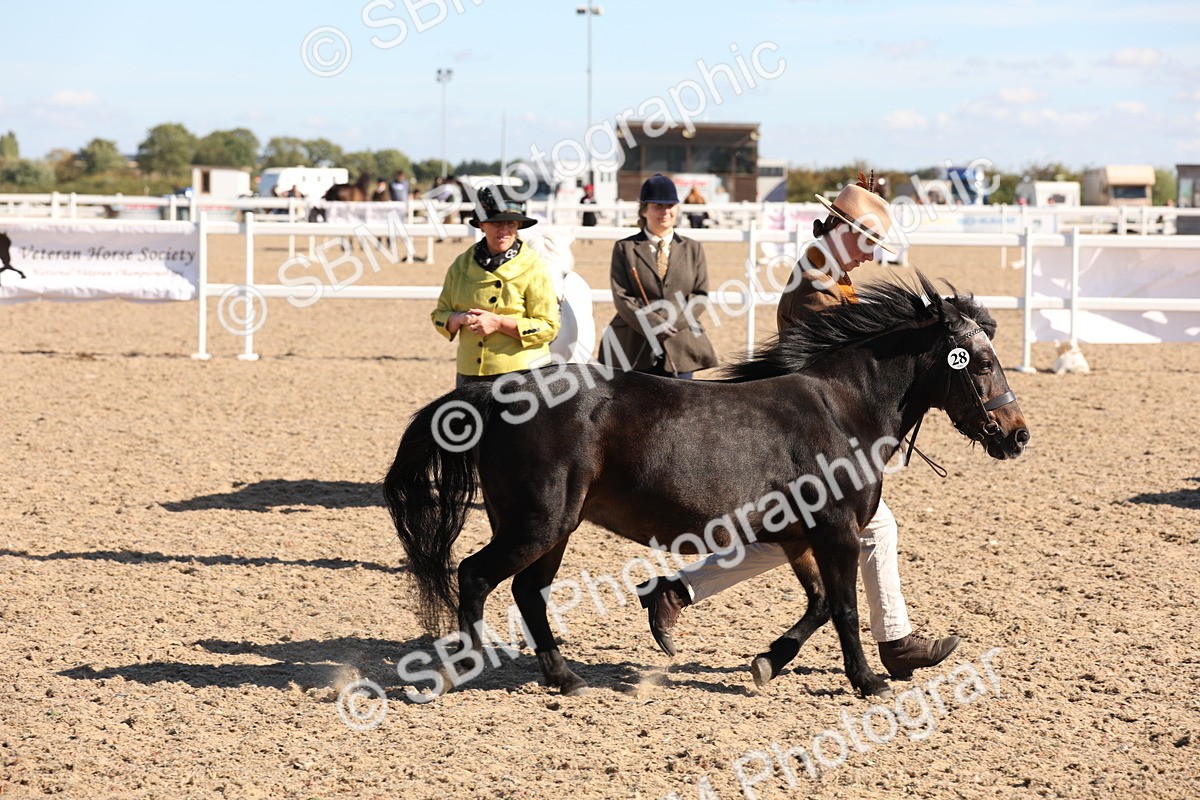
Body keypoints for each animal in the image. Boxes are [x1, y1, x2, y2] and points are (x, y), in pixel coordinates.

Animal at [382, 272, 1030, 700]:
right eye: (976, 360)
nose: (1016, 434)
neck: (843, 409)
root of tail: (498, 393)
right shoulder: (837, 531)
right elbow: (845, 608)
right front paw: (868, 681)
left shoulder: (799, 537)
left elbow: (819, 604)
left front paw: (768, 662)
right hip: (536, 524)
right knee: (476, 576)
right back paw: (468, 668)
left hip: (553, 528)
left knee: (526, 593)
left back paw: (566, 677)